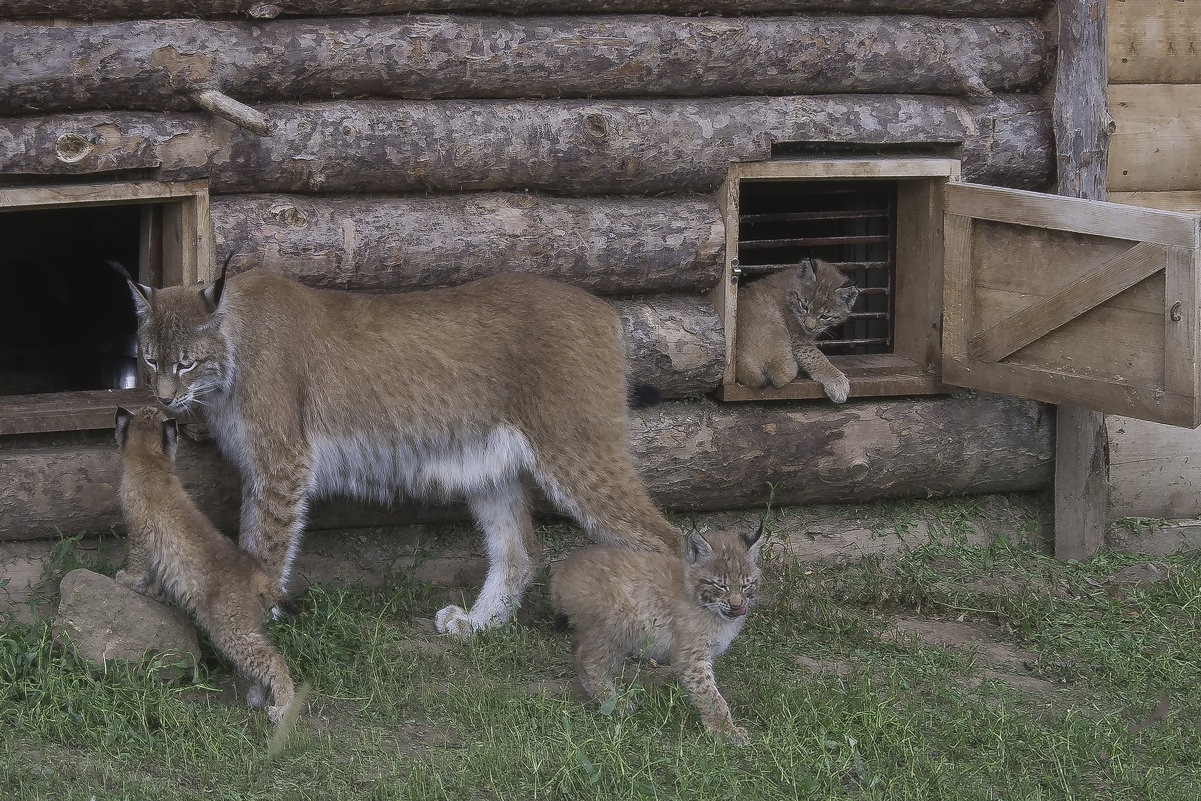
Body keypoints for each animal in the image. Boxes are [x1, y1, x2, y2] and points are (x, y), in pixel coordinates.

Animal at [112, 256, 682, 638]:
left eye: (186, 363)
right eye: (150, 358)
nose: (164, 399)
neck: (230, 355)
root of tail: (605, 308)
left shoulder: (282, 464)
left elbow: (267, 545)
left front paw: (252, 619)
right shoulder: (265, 470)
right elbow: (253, 536)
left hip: (578, 451)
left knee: (670, 539)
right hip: (489, 463)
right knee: (521, 550)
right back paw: (478, 624)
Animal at [114, 403, 295, 725]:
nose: (120, 411)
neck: (153, 464)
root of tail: (259, 574)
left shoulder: (139, 531)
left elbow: (137, 559)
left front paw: (128, 579)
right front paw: (154, 592)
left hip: (229, 628)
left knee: (273, 658)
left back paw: (282, 707)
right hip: (247, 624)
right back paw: (258, 695)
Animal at [550, 525, 763, 744]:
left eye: (746, 585)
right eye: (720, 585)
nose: (737, 606)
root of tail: (564, 567)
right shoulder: (691, 655)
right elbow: (710, 694)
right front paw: (726, 730)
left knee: (578, 650)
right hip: (614, 627)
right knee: (589, 660)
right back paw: (614, 701)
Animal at [735, 260, 859, 403]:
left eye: (824, 316)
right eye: (804, 306)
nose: (809, 327)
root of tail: (737, 355)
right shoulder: (799, 338)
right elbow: (816, 357)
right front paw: (837, 382)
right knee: (780, 377)